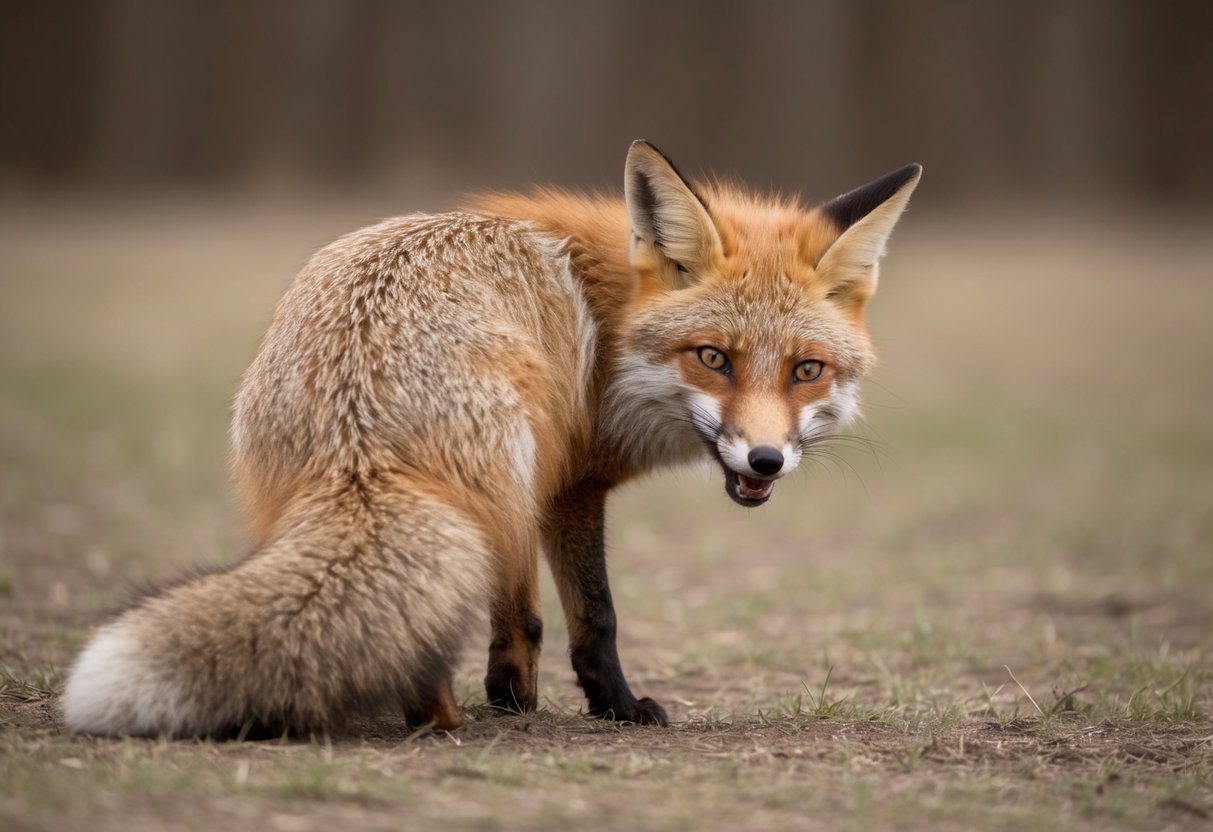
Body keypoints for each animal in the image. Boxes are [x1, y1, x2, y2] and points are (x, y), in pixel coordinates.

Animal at [62, 141, 920, 737]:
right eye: (713, 358)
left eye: (806, 370)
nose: (764, 459)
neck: (612, 331)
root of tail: (356, 434)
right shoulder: (570, 484)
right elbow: (595, 616)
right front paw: (615, 707)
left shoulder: (527, 496)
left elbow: (520, 612)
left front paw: (513, 695)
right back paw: (434, 721)